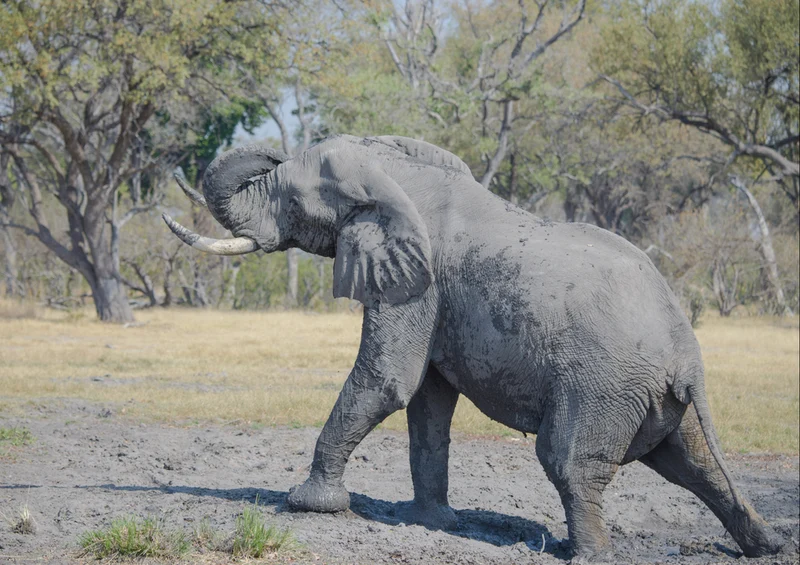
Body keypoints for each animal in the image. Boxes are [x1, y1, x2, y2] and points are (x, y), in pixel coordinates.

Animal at [164, 134, 784, 560]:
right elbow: (428, 402)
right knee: (693, 465)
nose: (275, 148)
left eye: (291, 198)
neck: (396, 176)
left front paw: (308, 504)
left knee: (569, 462)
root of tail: (687, 355)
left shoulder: (418, 283)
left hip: (605, 383)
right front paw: (432, 522)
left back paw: (587, 555)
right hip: (655, 397)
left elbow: (389, 380)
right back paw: (768, 546)